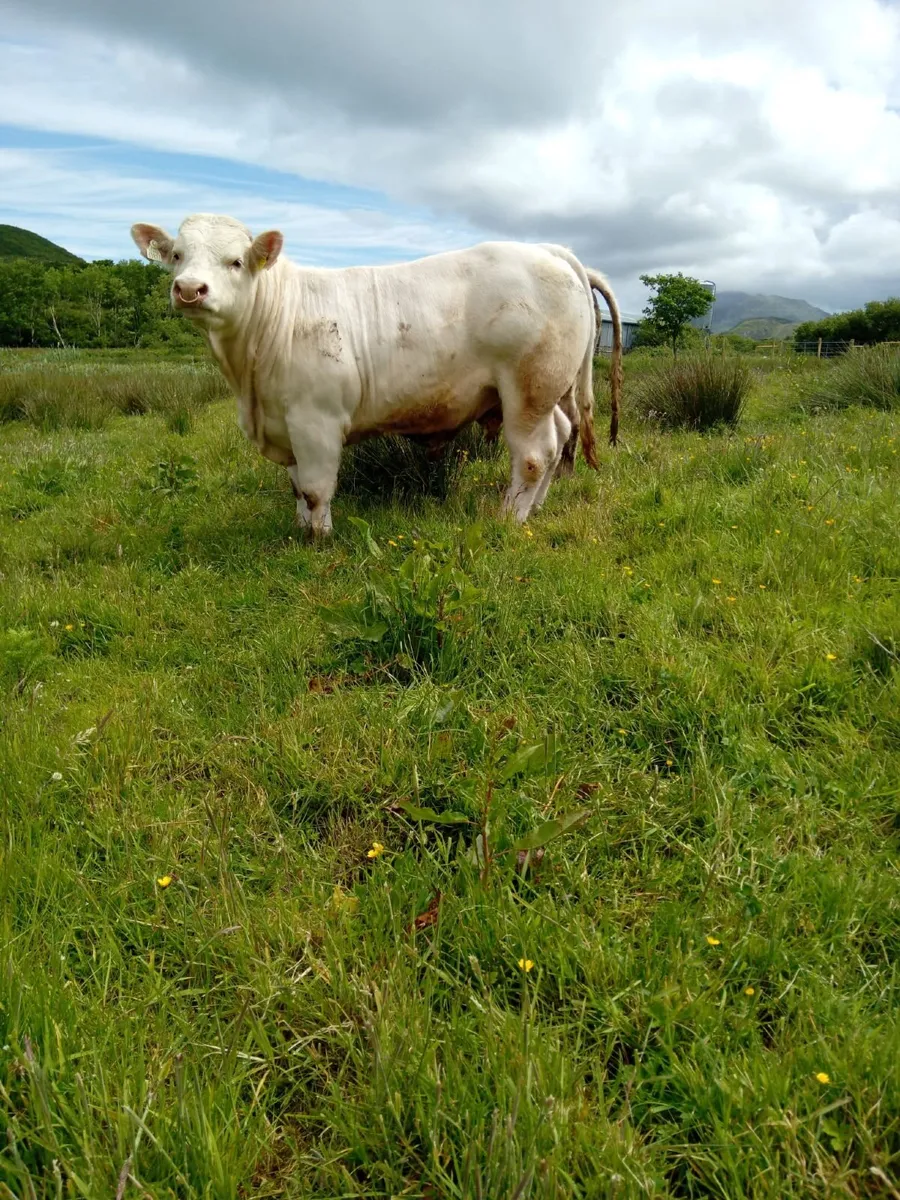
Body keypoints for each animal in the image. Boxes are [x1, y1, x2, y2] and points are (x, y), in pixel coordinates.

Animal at [130, 214, 623, 537]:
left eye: (235, 261)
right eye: (177, 256)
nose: (189, 289)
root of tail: (548, 250)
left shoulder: (316, 420)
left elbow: (315, 488)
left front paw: (319, 539)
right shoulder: (284, 423)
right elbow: (296, 487)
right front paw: (300, 529)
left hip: (528, 389)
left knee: (534, 455)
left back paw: (508, 519)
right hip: (548, 391)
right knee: (560, 438)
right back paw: (534, 508)